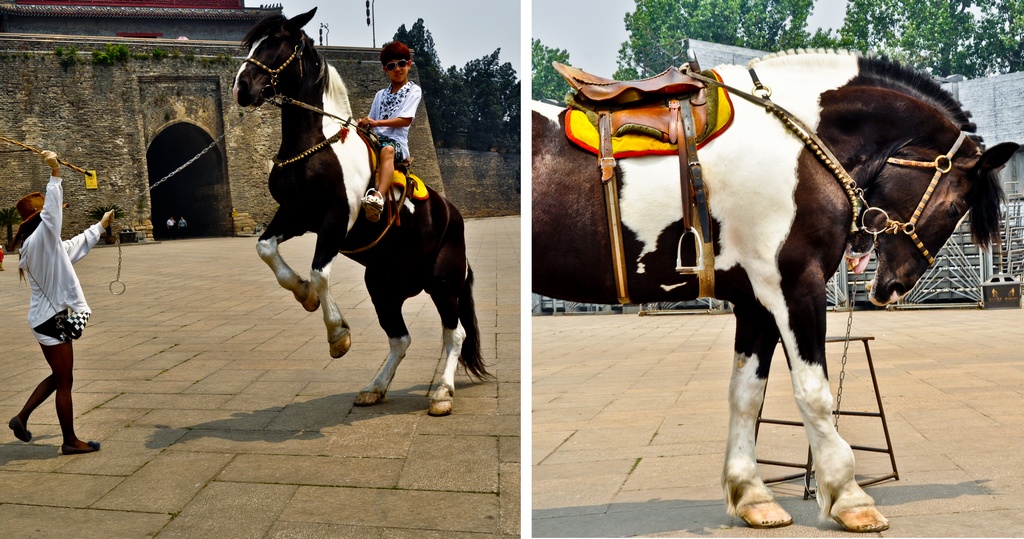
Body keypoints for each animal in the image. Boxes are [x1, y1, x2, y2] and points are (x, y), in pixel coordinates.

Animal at [233, 8, 487, 416]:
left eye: (275, 43)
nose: (242, 88)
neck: (316, 144)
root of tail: (452, 213)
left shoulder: (337, 219)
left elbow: (320, 272)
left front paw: (337, 334)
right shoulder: (295, 215)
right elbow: (266, 249)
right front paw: (304, 294)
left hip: (445, 281)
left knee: (455, 332)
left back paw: (442, 392)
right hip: (383, 284)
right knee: (400, 338)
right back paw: (375, 387)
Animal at [532, 49, 1019, 532]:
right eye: (954, 207)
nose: (897, 284)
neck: (800, 144)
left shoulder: (755, 302)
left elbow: (747, 394)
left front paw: (752, 494)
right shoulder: (795, 285)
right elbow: (814, 393)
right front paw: (848, 495)